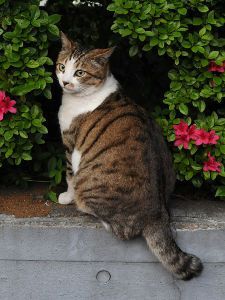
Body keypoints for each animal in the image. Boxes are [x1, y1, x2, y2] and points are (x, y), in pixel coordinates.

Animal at [55, 31, 202, 280]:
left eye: (80, 73)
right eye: (62, 67)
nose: (65, 82)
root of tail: (157, 214)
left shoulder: (70, 144)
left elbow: (68, 176)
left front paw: (66, 197)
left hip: (90, 183)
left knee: (121, 230)